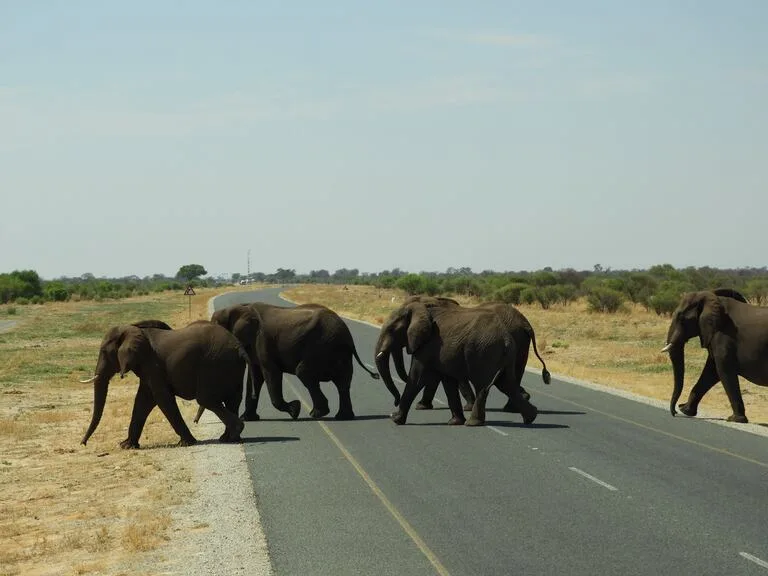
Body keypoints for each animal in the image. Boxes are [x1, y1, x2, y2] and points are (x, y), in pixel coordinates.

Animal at [80, 322, 256, 448]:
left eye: (104, 352)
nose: (83, 443)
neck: (133, 329)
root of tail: (239, 347)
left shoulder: (152, 363)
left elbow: (162, 398)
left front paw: (187, 443)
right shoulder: (147, 367)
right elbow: (143, 400)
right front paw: (126, 446)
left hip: (214, 364)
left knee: (206, 399)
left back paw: (234, 433)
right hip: (230, 365)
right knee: (232, 399)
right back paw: (228, 438)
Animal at [210, 304, 380, 420]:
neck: (240, 308)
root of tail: (348, 335)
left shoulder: (262, 341)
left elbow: (270, 373)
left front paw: (294, 410)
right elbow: (256, 377)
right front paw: (248, 419)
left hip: (321, 346)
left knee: (304, 372)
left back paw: (317, 413)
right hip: (338, 351)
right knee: (343, 383)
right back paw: (343, 416)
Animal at [376, 300, 536, 426]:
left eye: (391, 330)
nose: (395, 402)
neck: (421, 308)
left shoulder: (428, 345)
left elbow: (417, 378)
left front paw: (396, 419)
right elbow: (447, 381)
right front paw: (454, 422)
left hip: (484, 352)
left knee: (483, 386)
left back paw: (473, 423)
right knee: (506, 383)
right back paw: (530, 416)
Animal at [660, 288, 768, 424]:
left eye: (681, 318)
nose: (674, 412)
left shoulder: (724, 336)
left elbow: (723, 370)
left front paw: (735, 419)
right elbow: (711, 371)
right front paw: (685, 410)